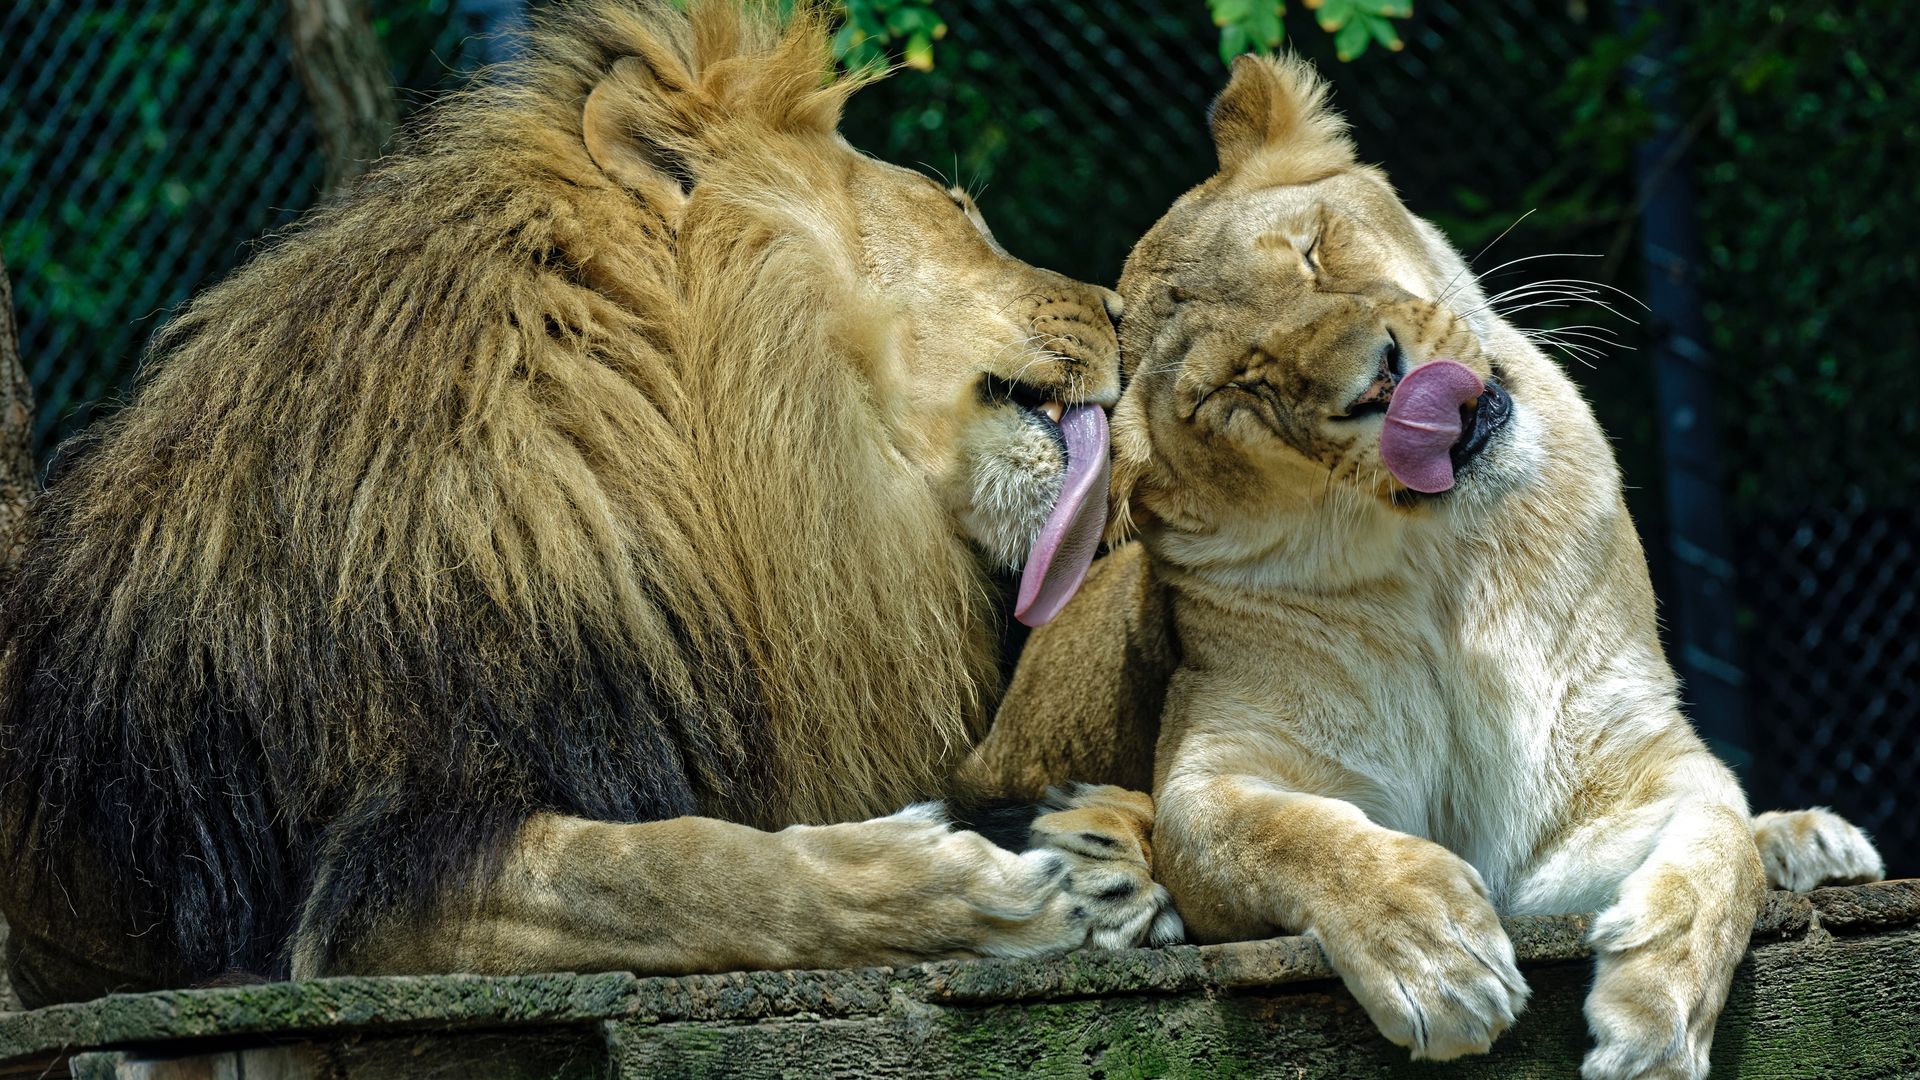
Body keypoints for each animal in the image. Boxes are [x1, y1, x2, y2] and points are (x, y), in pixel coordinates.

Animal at [0, 0, 1175, 999]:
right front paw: (975, 885)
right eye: (958, 210)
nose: (1123, 312)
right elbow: (680, 874)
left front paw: (1097, 843)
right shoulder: (361, 885)